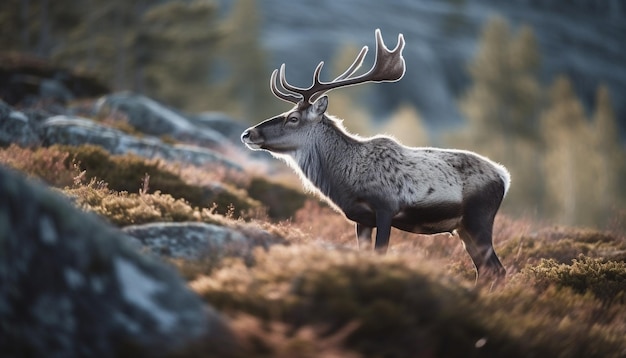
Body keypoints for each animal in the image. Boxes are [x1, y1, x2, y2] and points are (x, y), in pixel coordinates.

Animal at [241, 29, 510, 286]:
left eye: (293, 118)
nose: (248, 133)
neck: (345, 179)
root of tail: (504, 177)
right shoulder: (362, 219)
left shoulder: (385, 208)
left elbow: (381, 252)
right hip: (464, 228)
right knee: (486, 270)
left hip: (479, 219)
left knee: (497, 269)